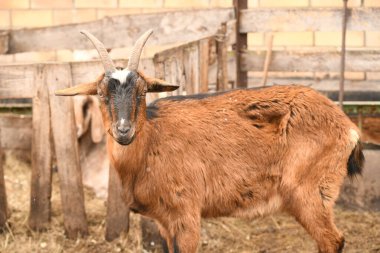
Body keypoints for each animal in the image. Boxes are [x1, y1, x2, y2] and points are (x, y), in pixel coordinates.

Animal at [55, 30, 362, 253]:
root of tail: (347, 126)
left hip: (310, 192)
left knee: (332, 241)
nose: (123, 130)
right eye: (101, 93)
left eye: (142, 92)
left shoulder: (187, 214)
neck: (152, 144)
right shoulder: (166, 223)